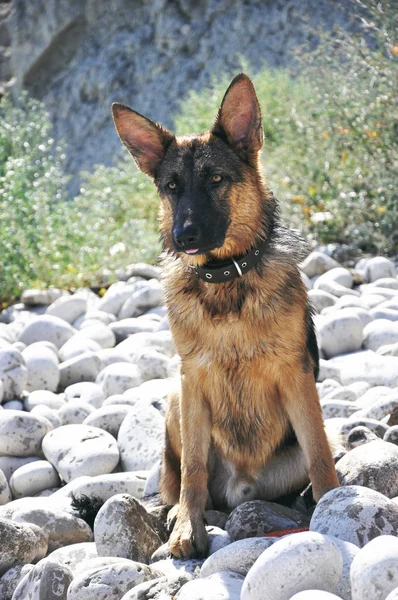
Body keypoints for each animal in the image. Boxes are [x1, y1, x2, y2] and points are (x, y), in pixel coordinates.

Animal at [112, 74, 338, 556]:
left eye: (215, 179)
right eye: (172, 187)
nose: (184, 236)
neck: (225, 278)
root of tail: (241, 488)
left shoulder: (296, 375)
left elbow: (319, 453)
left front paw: (335, 502)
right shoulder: (192, 379)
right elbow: (193, 471)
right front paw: (186, 526)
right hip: (176, 400)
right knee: (178, 481)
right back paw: (177, 512)